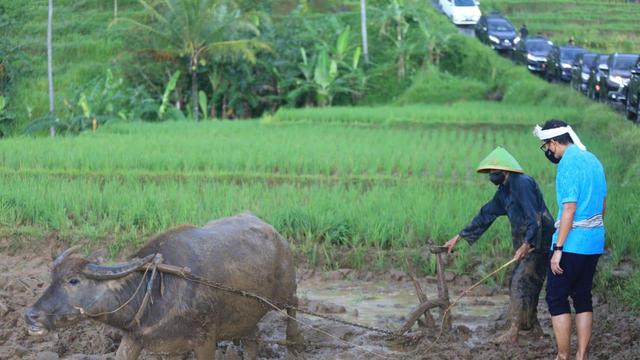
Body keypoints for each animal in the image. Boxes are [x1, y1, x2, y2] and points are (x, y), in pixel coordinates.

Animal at [23, 212, 304, 358]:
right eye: (51, 278)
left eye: (73, 280)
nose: (30, 315)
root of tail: (276, 234)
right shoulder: (135, 340)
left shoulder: (205, 340)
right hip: (244, 316)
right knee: (252, 338)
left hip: (285, 292)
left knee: (294, 305)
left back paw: (295, 342)